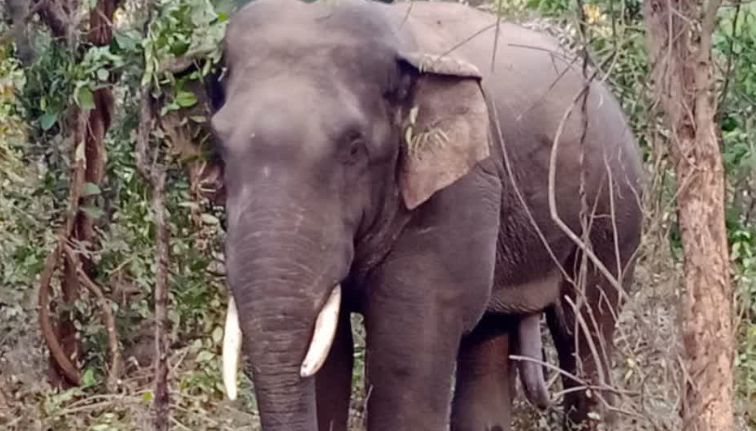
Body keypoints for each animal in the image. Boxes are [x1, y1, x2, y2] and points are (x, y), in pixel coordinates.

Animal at [211, 0, 644, 430]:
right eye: (219, 143)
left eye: (354, 147)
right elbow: (327, 357)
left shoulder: (458, 193)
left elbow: (407, 357)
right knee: (491, 339)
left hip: (612, 216)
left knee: (584, 332)